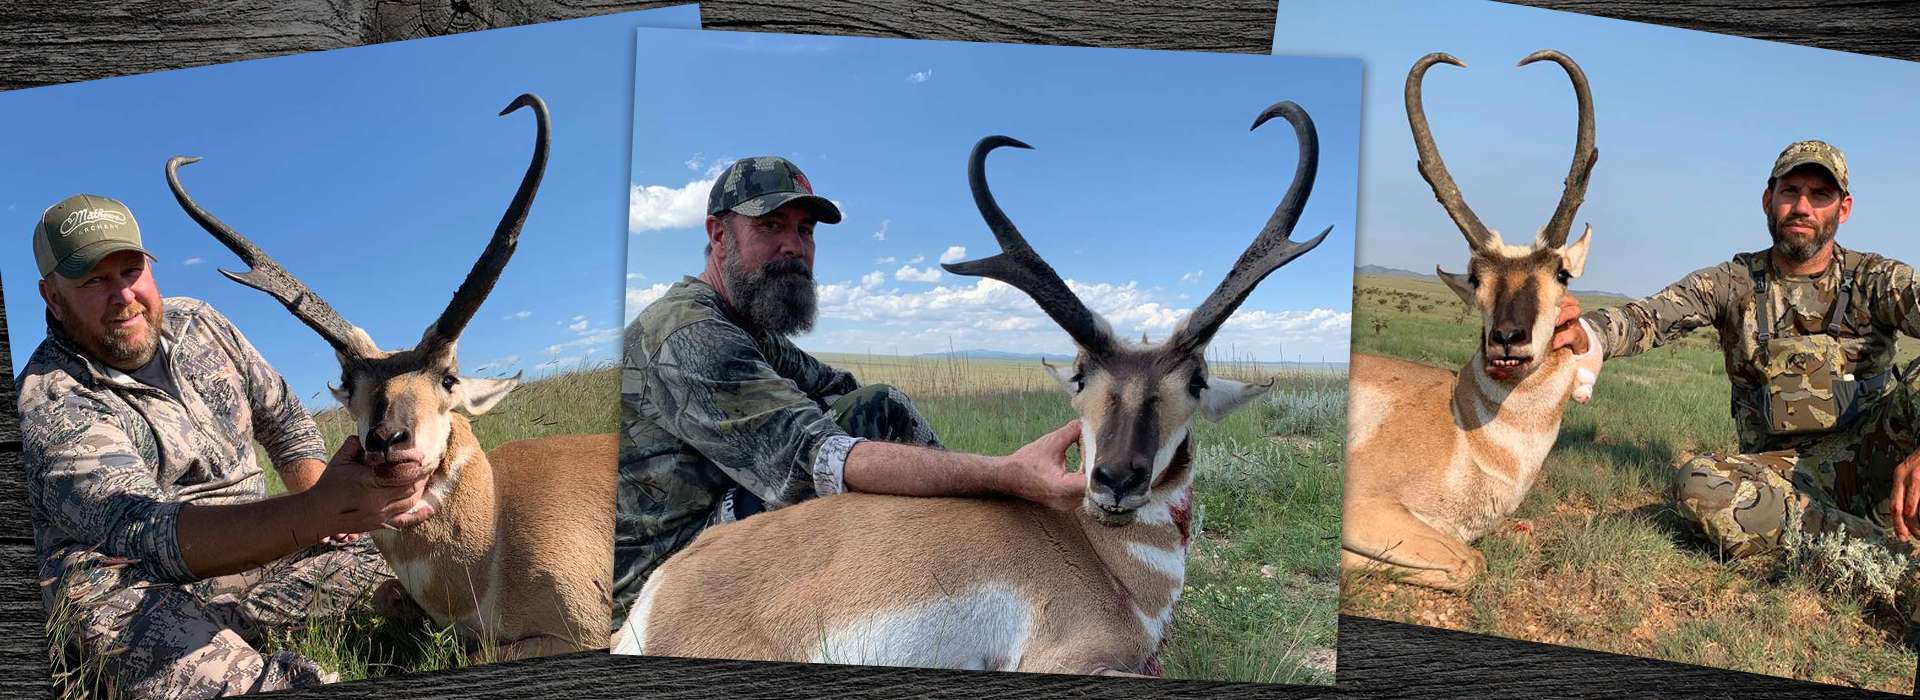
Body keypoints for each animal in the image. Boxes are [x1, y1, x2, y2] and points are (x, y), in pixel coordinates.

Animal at [166, 93, 618, 659]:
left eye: (448, 378)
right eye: (349, 384)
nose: (387, 440)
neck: (496, 524)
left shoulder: (585, 631)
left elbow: (486, 650)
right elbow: (388, 598)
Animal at [1351, 51, 1605, 590]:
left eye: (1562, 272)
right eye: (1475, 277)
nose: (1507, 340)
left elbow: (1471, 558)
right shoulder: (1364, 504)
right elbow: (1470, 562)